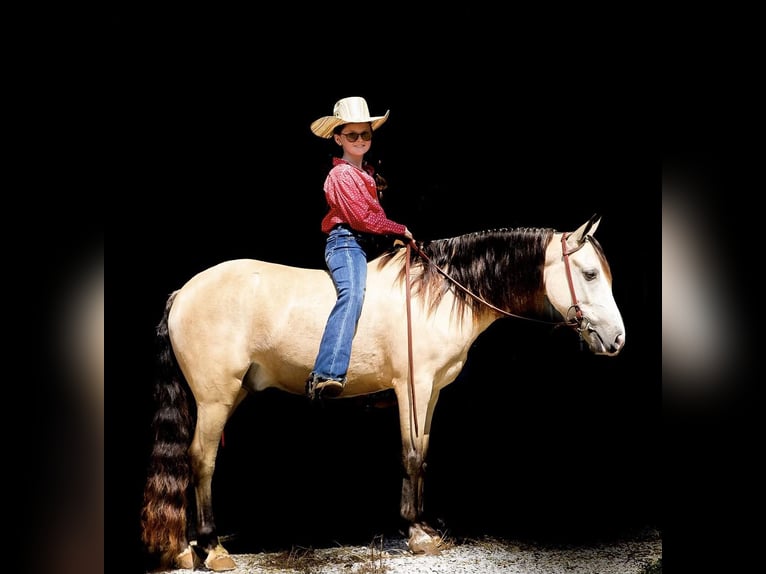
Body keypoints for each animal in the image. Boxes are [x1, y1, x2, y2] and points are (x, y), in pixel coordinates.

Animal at [140, 214, 625, 571]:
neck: (437, 293)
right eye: (588, 273)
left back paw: (186, 548)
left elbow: (423, 452)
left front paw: (425, 526)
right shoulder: (413, 387)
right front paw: (416, 534)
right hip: (215, 398)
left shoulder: (432, 392)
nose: (617, 339)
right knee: (201, 460)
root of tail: (184, 291)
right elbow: (409, 454)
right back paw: (212, 548)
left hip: (228, 393)